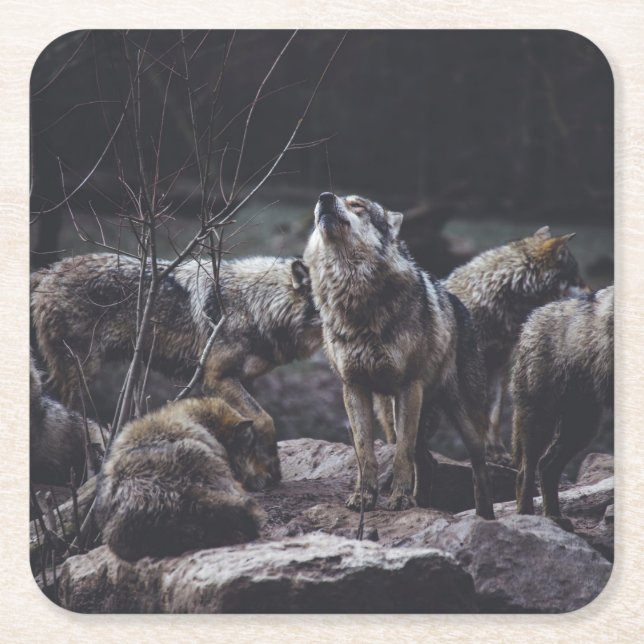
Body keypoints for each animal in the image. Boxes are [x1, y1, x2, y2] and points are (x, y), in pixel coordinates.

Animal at [303, 192, 494, 517]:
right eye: (330, 198)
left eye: (357, 205)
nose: (324, 198)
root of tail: (459, 304)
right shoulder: (353, 387)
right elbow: (365, 453)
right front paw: (364, 497)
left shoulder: (408, 387)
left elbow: (401, 455)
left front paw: (401, 500)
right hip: (395, 413)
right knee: (428, 461)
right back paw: (424, 504)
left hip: (462, 419)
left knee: (478, 467)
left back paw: (485, 516)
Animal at [444, 226, 587, 463]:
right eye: (575, 276)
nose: (591, 294)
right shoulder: (478, 365)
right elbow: (482, 416)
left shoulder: (500, 363)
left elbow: (494, 415)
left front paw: (498, 452)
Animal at [512, 286, 613, 521]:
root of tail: (530, 319)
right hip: (542, 420)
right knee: (525, 471)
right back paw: (528, 516)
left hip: (581, 426)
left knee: (546, 466)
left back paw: (554, 518)